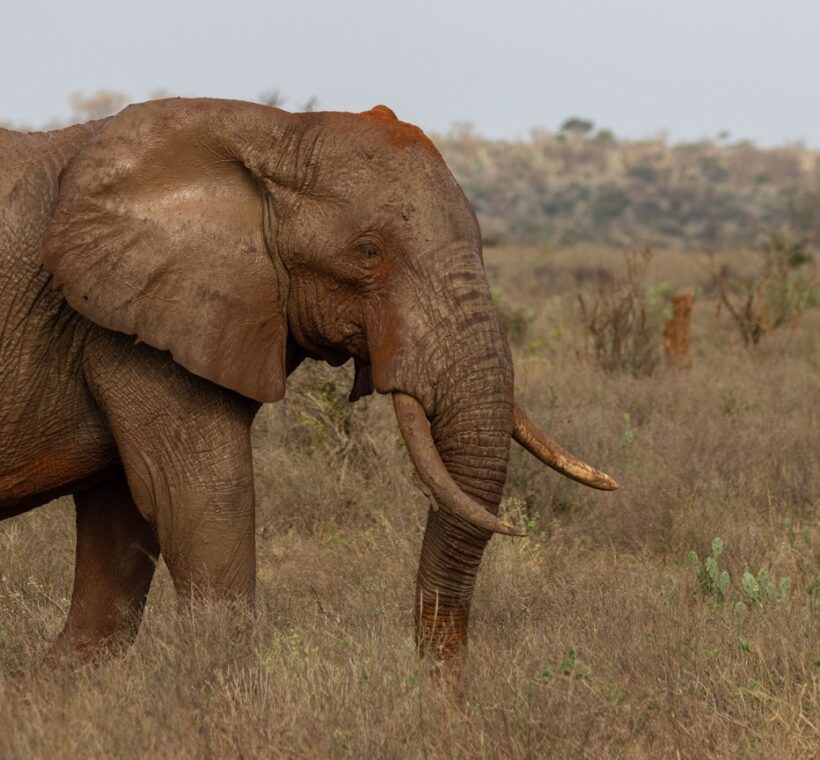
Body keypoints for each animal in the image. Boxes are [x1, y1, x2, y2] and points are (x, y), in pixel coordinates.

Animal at [0, 98, 617, 665]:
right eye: (368, 253)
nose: (443, 691)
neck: (275, 132)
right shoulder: (130, 321)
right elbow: (200, 500)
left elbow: (123, 525)